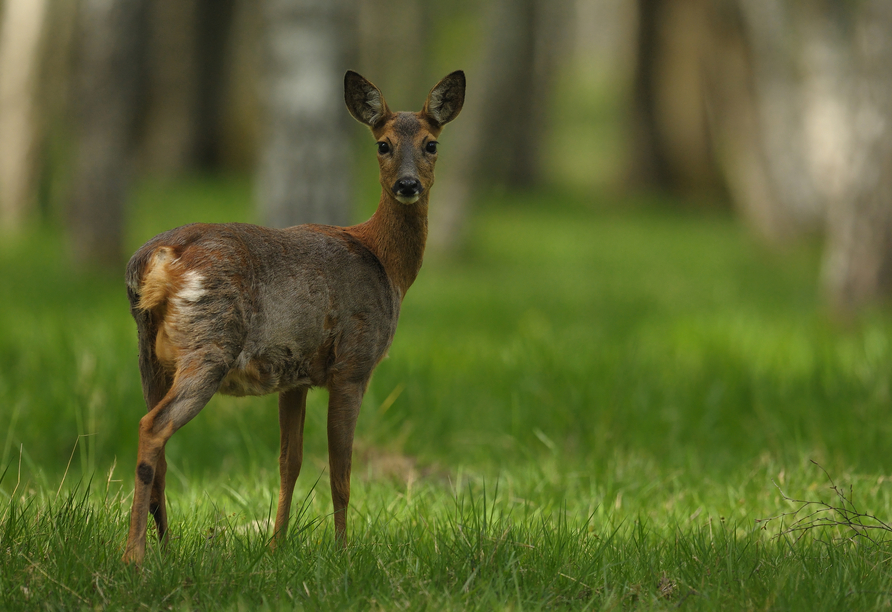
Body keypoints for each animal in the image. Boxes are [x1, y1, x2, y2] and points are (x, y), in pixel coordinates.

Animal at [123, 69, 466, 560]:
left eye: (430, 143)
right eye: (382, 143)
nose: (407, 185)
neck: (385, 263)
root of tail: (158, 259)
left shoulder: (295, 375)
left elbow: (290, 461)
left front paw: (276, 545)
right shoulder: (353, 363)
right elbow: (341, 471)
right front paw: (343, 551)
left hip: (149, 354)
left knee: (157, 445)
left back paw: (167, 547)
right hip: (210, 343)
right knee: (153, 427)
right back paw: (135, 554)